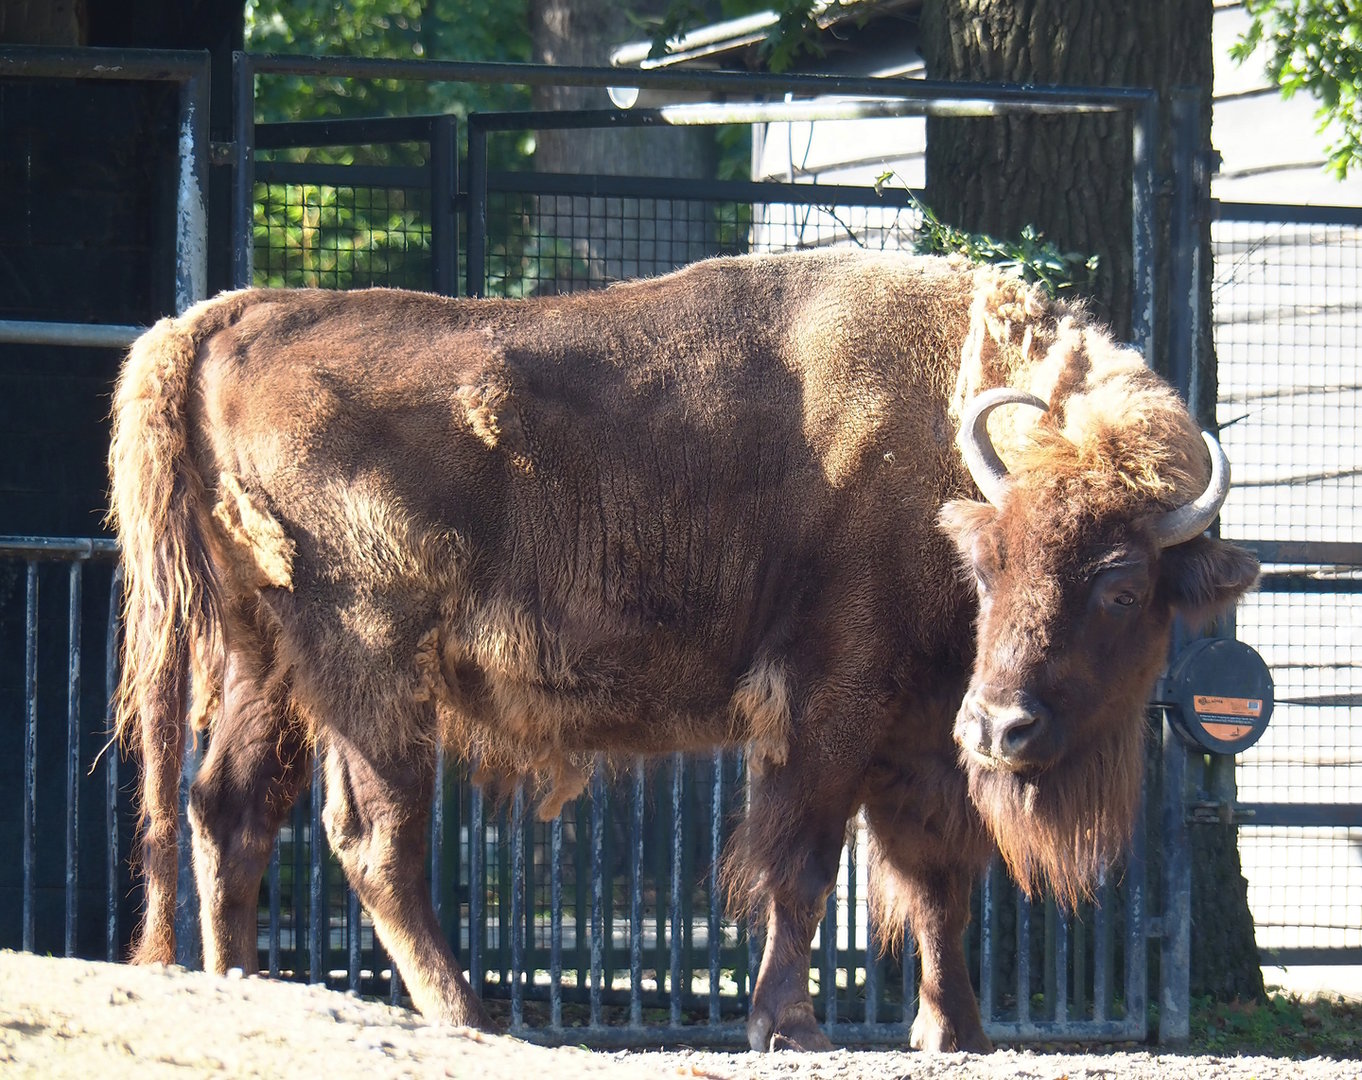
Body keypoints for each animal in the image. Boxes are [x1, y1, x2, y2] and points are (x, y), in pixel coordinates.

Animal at [108, 250, 1257, 1052]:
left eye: (1120, 584)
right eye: (985, 563)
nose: (1004, 727)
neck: (939, 417)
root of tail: (223, 318)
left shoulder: (920, 732)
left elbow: (935, 877)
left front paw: (958, 1033)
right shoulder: (829, 708)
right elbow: (803, 864)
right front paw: (790, 1027)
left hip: (263, 658)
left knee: (227, 805)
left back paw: (239, 986)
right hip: (369, 670)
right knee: (371, 835)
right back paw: (466, 1014)